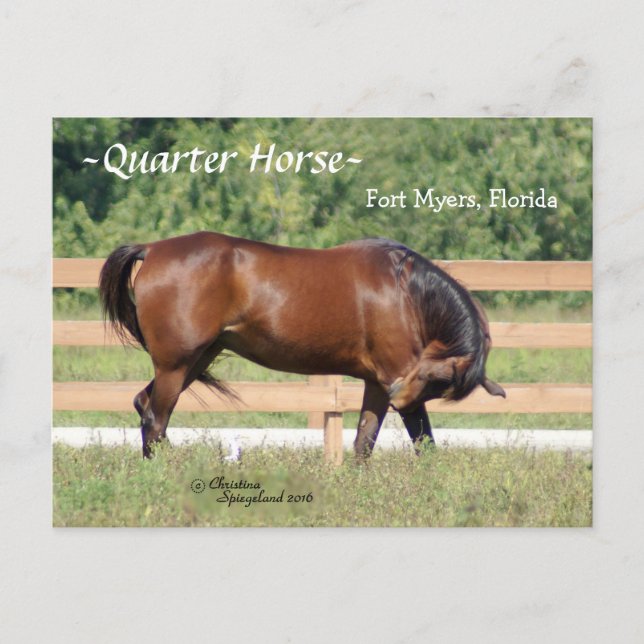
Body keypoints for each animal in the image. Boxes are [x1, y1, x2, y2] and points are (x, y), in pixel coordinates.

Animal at [99, 232, 505, 458]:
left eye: (440, 384)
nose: (398, 395)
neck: (405, 292)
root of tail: (152, 249)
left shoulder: (376, 383)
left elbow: (364, 443)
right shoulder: (392, 376)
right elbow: (424, 442)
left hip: (196, 361)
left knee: (144, 406)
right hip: (176, 364)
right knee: (155, 419)